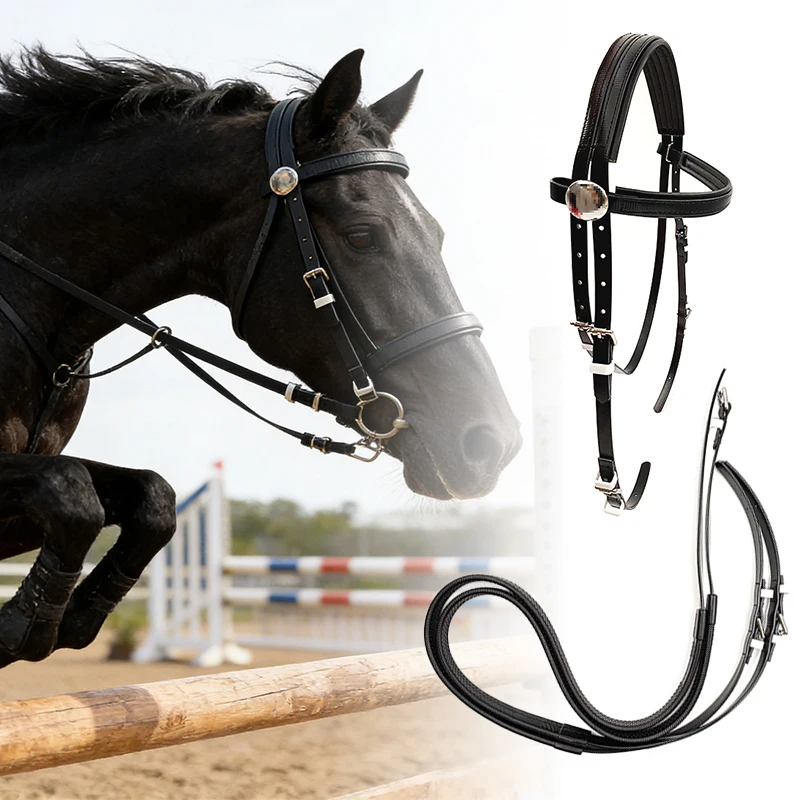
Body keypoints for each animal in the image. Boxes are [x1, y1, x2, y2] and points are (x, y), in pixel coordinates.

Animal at [0, 47, 521, 667]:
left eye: (437, 235)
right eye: (363, 236)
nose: (493, 444)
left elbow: (151, 498)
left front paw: (66, 617)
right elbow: (73, 494)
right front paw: (25, 621)